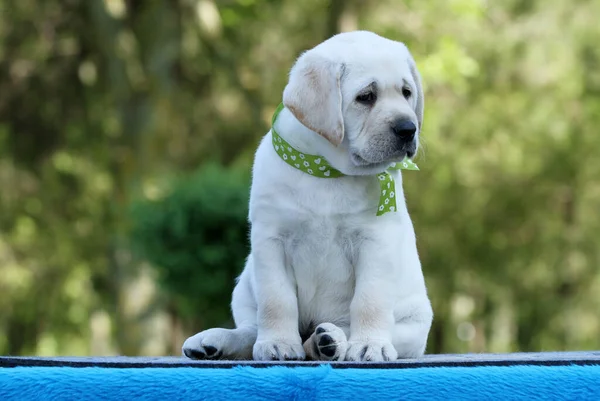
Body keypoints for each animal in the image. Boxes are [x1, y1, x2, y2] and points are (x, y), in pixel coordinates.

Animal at [183, 30, 432, 362]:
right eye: (366, 97)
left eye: (406, 93)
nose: (408, 128)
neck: (328, 172)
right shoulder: (271, 240)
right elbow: (276, 300)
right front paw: (277, 342)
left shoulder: (375, 241)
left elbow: (370, 300)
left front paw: (370, 344)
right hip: (244, 285)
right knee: (250, 329)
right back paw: (216, 341)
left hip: (414, 323)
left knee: (350, 327)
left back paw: (328, 340)